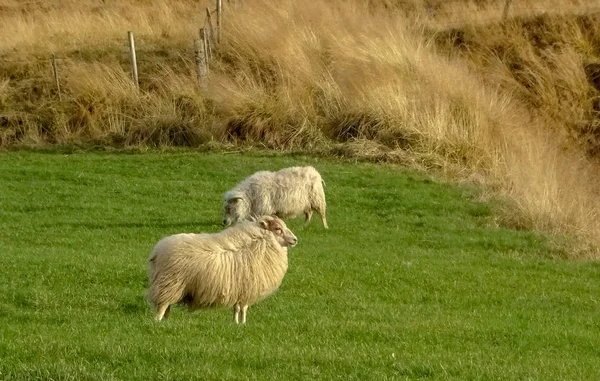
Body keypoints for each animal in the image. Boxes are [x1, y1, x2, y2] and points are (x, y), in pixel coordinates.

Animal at [148, 215, 298, 322]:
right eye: (278, 229)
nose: (295, 240)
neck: (260, 243)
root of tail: (157, 251)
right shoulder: (247, 289)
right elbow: (243, 309)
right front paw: (243, 323)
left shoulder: (240, 289)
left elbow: (237, 309)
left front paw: (236, 324)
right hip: (169, 284)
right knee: (162, 306)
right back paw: (157, 322)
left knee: (166, 307)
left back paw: (166, 322)